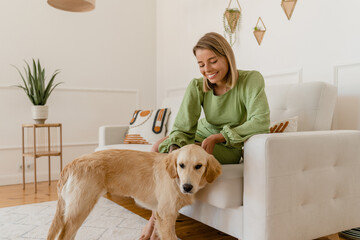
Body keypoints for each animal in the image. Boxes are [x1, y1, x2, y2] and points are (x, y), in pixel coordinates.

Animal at [47, 144, 222, 240]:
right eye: (181, 165)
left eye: (198, 166)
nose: (187, 187)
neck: (176, 179)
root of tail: (72, 163)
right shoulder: (166, 215)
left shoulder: (161, 214)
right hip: (81, 207)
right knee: (64, 235)